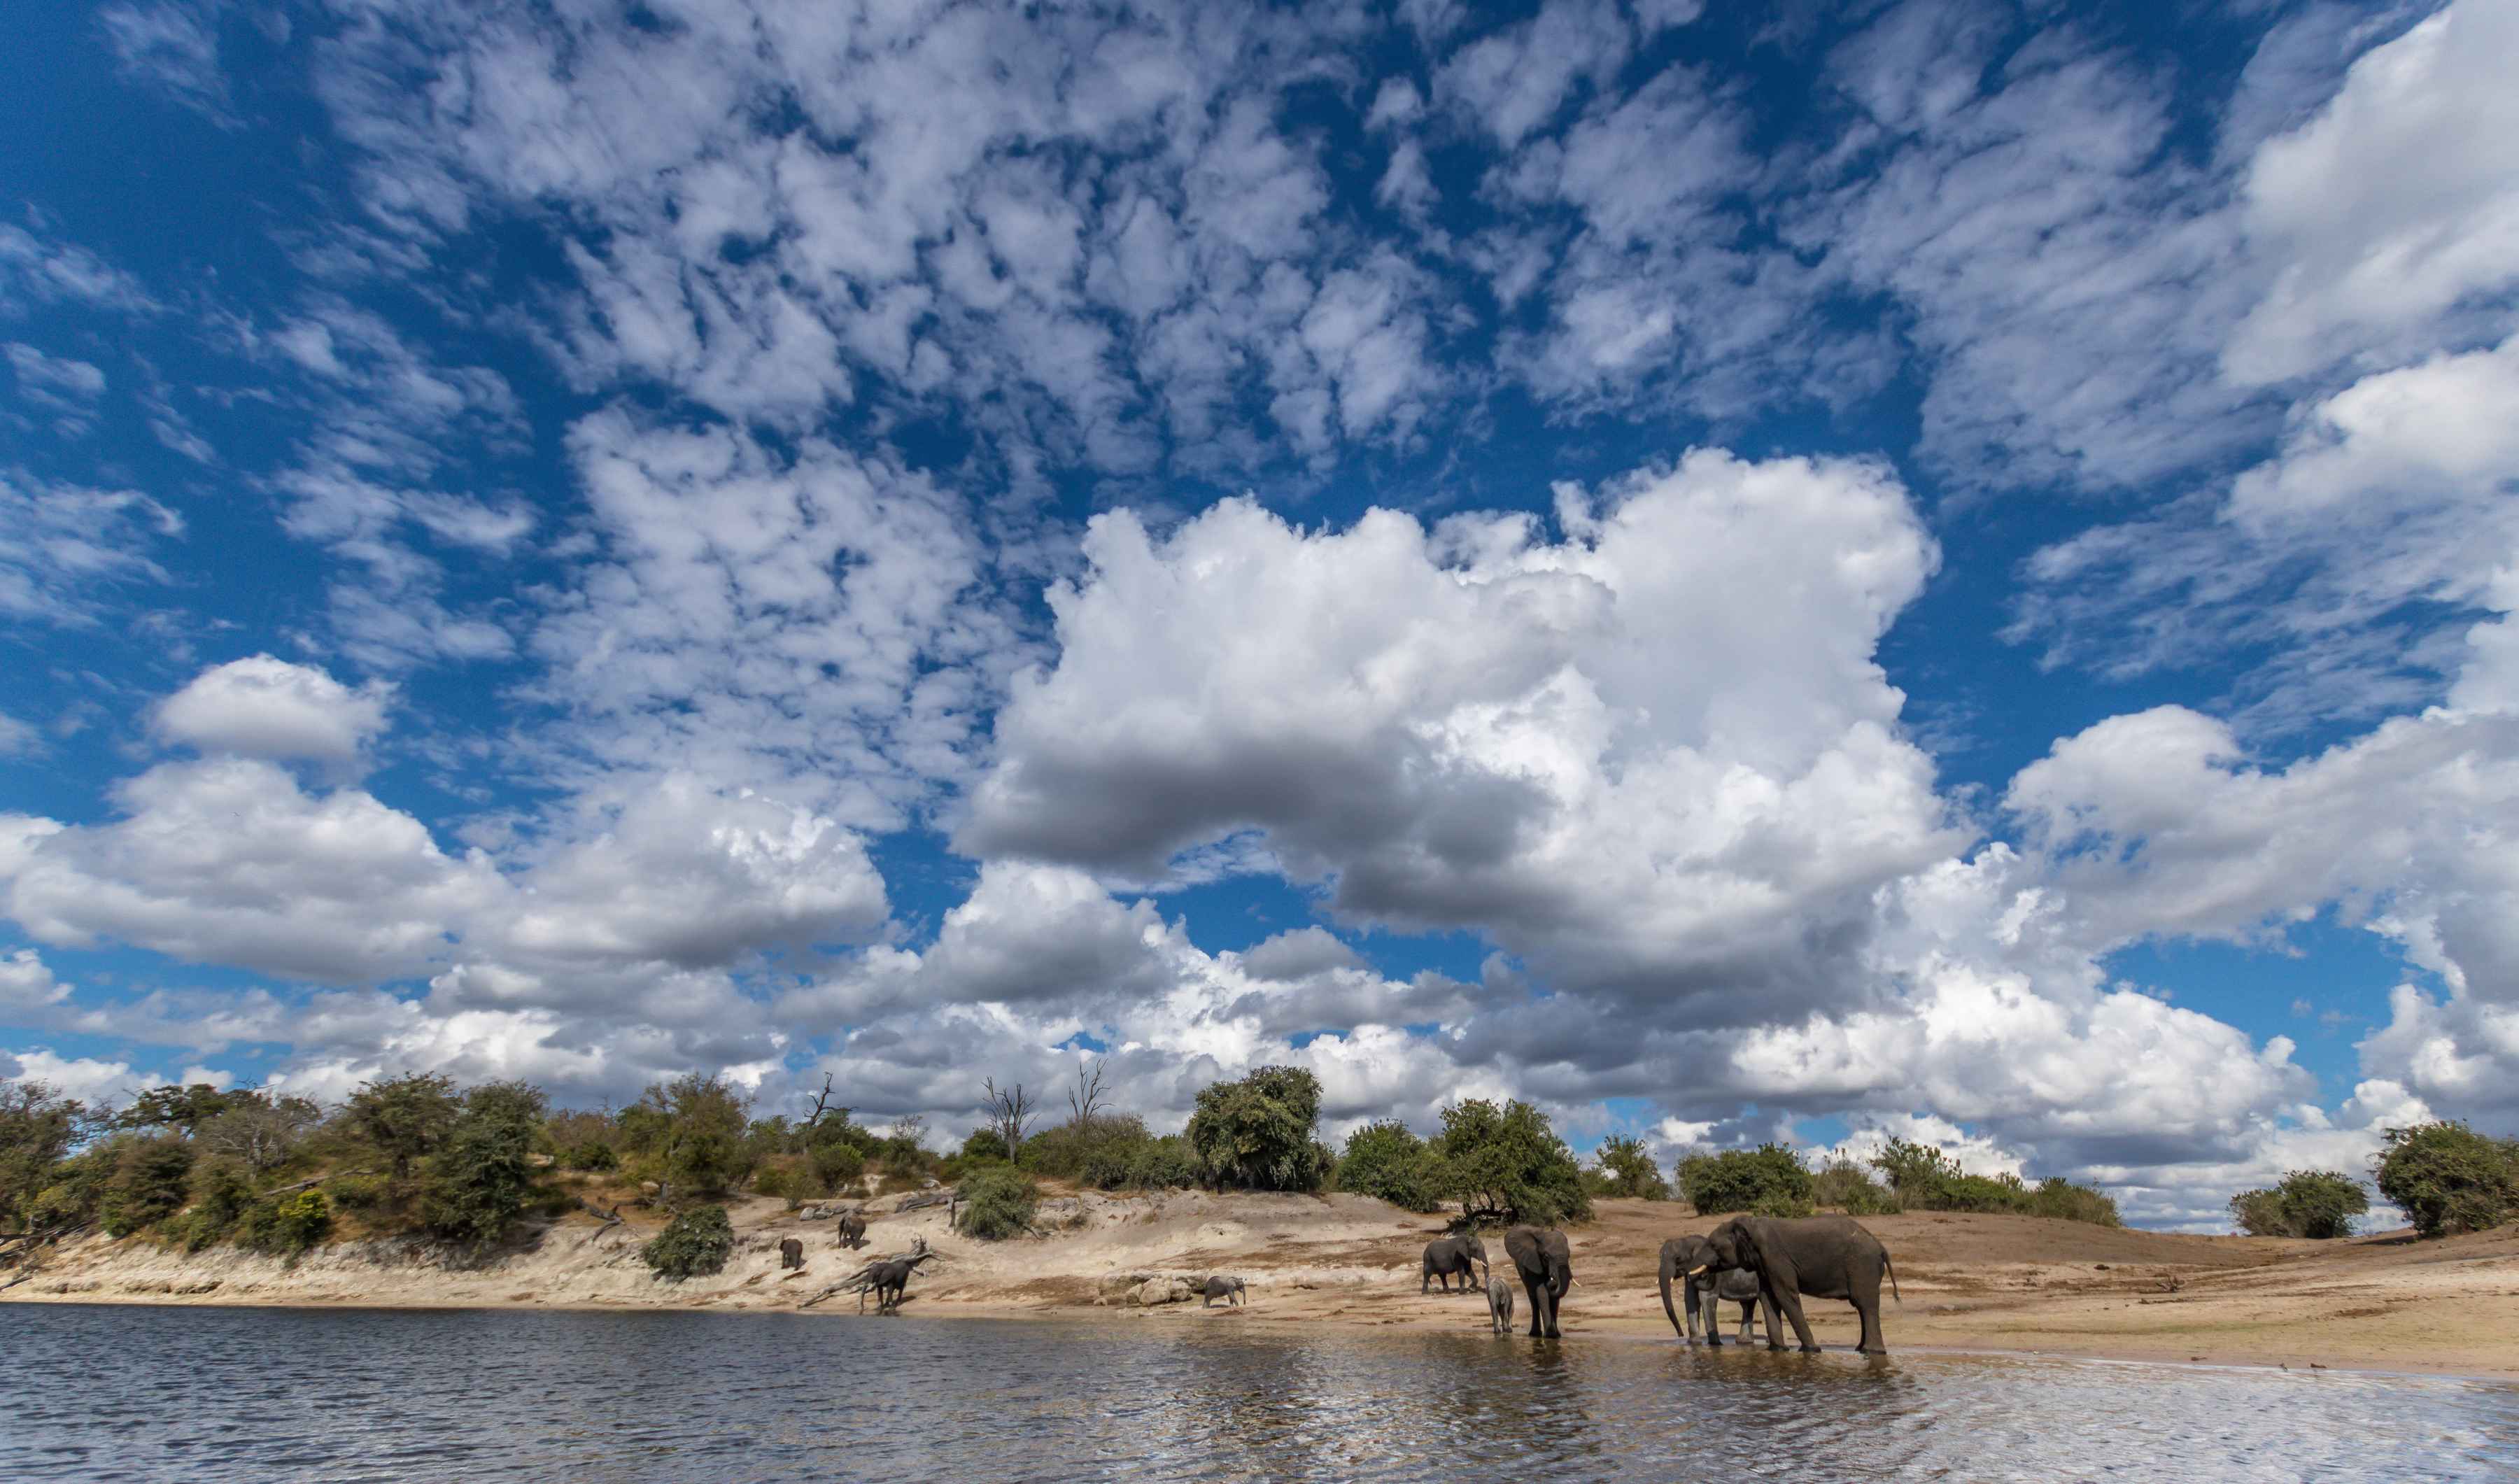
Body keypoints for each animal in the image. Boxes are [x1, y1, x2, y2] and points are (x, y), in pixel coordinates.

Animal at [1502, 1225, 1572, 1339]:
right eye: (1546, 1257)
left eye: (1569, 1255)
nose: (1552, 1280)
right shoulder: (1533, 1262)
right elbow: (1542, 1292)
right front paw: (1550, 1335)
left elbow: (1554, 1298)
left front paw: (1556, 1335)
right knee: (1533, 1298)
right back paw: (1535, 1334)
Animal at [1703, 1215, 1899, 1355]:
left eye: (1713, 1246)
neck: (1751, 1223)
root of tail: (1881, 1247)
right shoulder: (1765, 1264)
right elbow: (1768, 1298)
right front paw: (1778, 1350)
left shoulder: (1776, 1258)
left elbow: (1785, 1295)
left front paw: (1812, 1351)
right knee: (1861, 1306)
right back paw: (1861, 1350)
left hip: (1862, 1266)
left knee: (1865, 1304)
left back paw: (1872, 1352)